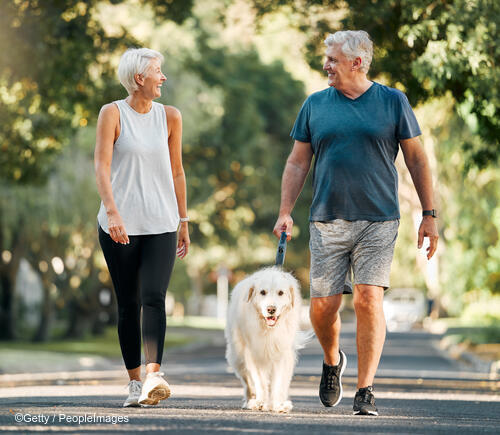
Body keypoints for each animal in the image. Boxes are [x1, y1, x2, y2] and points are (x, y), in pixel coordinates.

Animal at [226, 268, 304, 414]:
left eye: (281, 293)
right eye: (262, 292)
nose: (271, 309)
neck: (268, 330)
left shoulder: (282, 355)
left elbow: (278, 382)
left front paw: (278, 405)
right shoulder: (253, 354)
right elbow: (259, 382)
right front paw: (260, 402)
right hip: (238, 357)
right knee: (248, 382)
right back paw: (250, 400)